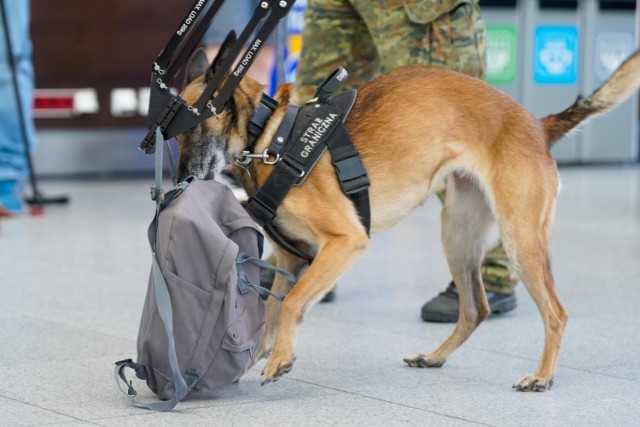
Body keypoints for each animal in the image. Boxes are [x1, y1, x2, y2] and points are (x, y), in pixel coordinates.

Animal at [175, 36, 640, 392]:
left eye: (192, 127)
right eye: (171, 133)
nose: (181, 179)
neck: (268, 137)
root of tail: (539, 126)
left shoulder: (346, 242)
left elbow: (289, 304)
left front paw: (278, 360)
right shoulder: (291, 259)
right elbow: (274, 310)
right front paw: (257, 357)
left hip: (520, 241)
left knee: (555, 314)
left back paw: (542, 377)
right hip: (458, 238)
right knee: (476, 309)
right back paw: (434, 357)